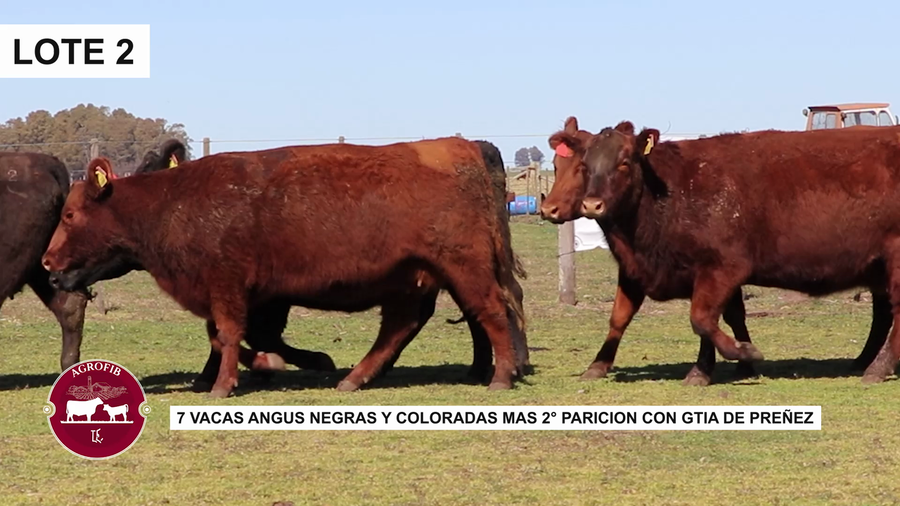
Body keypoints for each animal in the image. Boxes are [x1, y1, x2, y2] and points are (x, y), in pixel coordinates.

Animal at [42, 137, 526, 398]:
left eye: (70, 215)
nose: (47, 262)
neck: (172, 202)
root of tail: (461, 146)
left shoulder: (229, 287)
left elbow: (229, 334)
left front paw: (223, 384)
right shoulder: (256, 296)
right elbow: (234, 336)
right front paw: (266, 365)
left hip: (463, 269)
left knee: (491, 312)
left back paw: (500, 377)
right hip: (414, 278)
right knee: (402, 326)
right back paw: (354, 378)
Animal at [543, 117, 898, 385]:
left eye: (624, 163)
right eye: (585, 165)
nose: (592, 204)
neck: (672, 193)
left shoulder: (723, 268)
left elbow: (702, 318)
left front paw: (743, 354)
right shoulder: (639, 269)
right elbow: (621, 317)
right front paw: (598, 366)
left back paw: (877, 368)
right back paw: (866, 361)